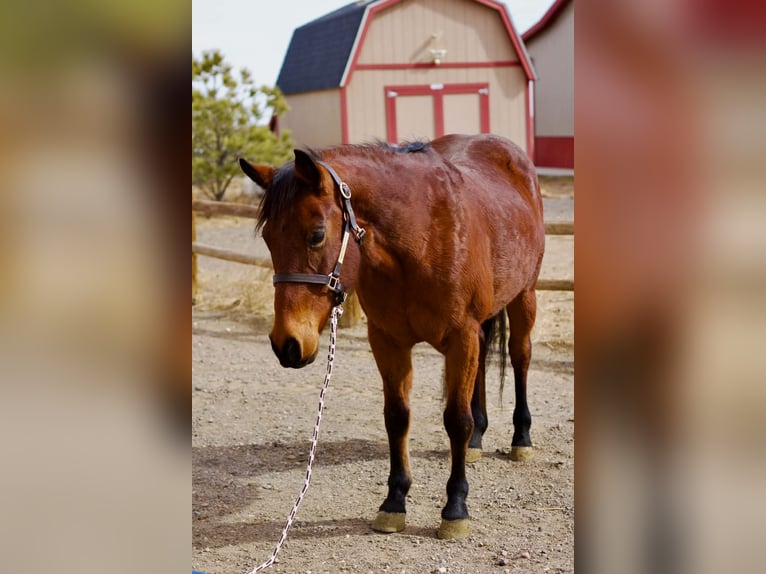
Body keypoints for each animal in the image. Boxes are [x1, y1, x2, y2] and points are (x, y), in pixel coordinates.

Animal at [240, 133, 545, 539]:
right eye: (269, 239)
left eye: (316, 235)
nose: (287, 344)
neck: (421, 238)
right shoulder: (388, 340)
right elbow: (397, 417)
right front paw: (394, 502)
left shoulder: (461, 336)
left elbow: (456, 419)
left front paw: (455, 507)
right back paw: (478, 440)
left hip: (525, 297)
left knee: (520, 357)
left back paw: (521, 438)